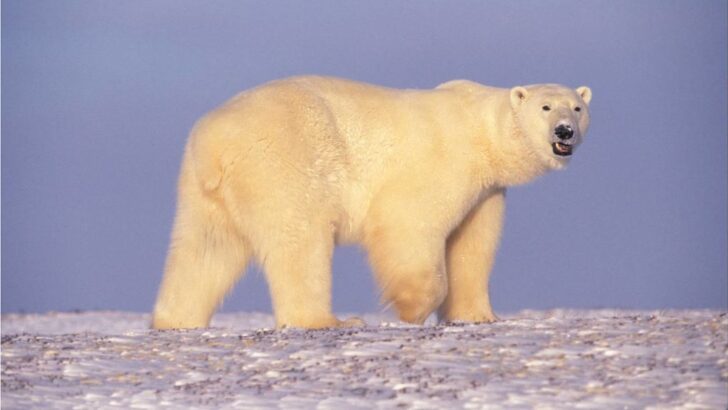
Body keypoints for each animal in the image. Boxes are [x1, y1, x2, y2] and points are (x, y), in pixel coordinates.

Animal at [152, 76, 592, 330]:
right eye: (545, 107)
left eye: (578, 107)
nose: (564, 131)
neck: (480, 131)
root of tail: (215, 142)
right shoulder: (443, 161)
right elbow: (409, 223)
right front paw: (411, 308)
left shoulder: (486, 190)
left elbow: (472, 246)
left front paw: (478, 314)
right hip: (283, 160)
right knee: (301, 241)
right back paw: (328, 321)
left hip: (203, 190)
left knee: (204, 250)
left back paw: (175, 320)